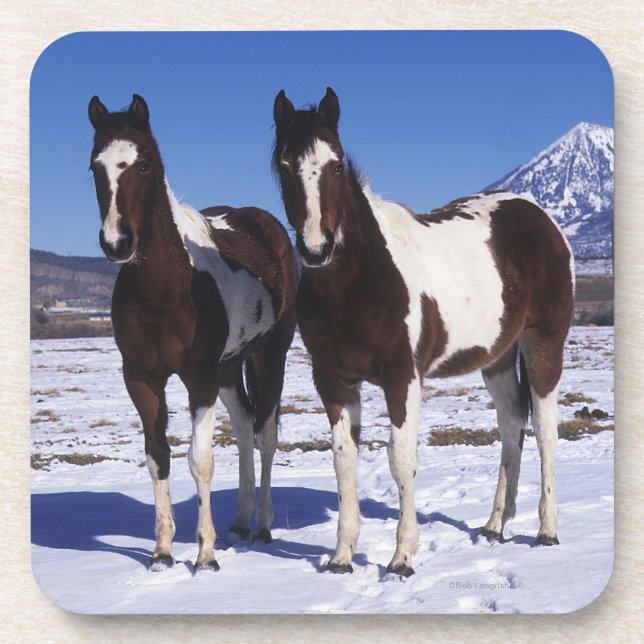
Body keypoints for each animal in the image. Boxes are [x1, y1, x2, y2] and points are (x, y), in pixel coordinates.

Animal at [88, 94, 297, 572]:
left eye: (144, 164)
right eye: (95, 166)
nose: (116, 242)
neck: (167, 288)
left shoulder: (199, 377)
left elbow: (199, 460)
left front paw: (205, 556)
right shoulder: (141, 379)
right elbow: (158, 457)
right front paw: (162, 552)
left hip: (268, 357)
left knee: (265, 435)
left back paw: (262, 526)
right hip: (230, 368)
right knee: (244, 429)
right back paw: (238, 522)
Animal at [272, 87, 574, 577]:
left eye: (335, 164)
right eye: (284, 165)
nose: (316, 249)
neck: (362, 277)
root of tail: (540, 218)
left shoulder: (403, 378)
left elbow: (401, 460)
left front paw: (401, 558)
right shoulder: (334, 381)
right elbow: (344, 462)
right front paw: (341, 557)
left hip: (543, 342)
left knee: (546, 430)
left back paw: (547, 531)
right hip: (497, 358)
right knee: (512, 425)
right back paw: (494, 525)